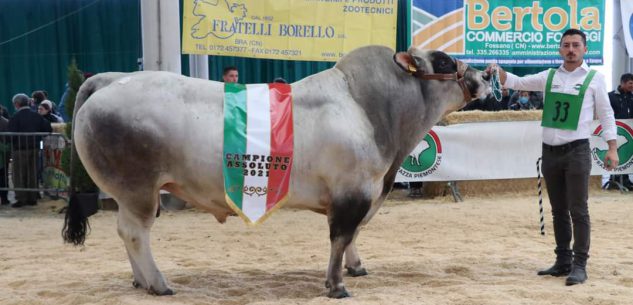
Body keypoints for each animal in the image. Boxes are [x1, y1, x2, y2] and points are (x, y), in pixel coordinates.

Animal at [63, 45, 488, 296]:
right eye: (445, 62)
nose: (484, 77)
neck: (372, 108)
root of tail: (109, 81)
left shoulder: (363, 193)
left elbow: (352, 237)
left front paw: (356, 268)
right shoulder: (352, 192)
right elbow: (340, 237)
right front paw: (336, 285)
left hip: (132, 193)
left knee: (127, 233)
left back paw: (141, 280)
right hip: (138, 189)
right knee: (134, 233)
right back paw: (158, 283)